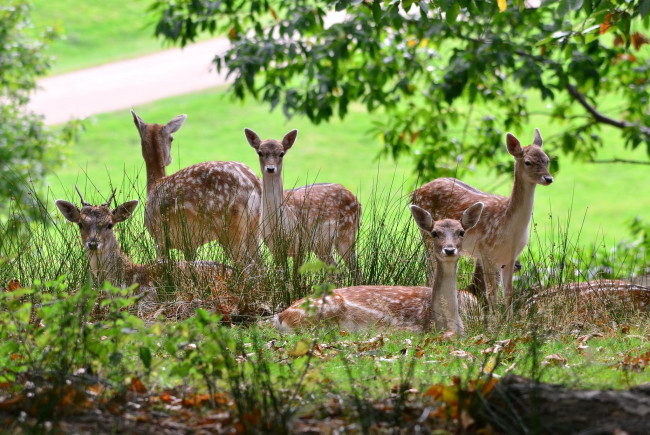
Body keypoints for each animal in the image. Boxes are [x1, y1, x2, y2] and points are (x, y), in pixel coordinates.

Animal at [130, 109, 262, 266]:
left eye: (171, 138)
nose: (170, 159)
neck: (153, 186)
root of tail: (254, 182)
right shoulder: (189, 245)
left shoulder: (158, 237)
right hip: (255, 225)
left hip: (230, 226)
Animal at [244, 127, 362, 276]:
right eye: (260, 152)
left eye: (281, 153)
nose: (270, 168)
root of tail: (357, 201)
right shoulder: (274, 248)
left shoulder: (299, 243)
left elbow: (295, 277)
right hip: (323, 245)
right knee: (337, 271)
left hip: (347, 233)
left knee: (356, 271)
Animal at [272, 203, 480, 336]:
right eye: (435, 233)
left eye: (461, 232)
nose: (449, 249)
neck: (445, 321)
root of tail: (281, 316)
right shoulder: (408, 329)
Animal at [410, 127, 552, 316]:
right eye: (528, 162)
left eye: (547, 160)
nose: (548, 179)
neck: (508, 224)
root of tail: (415, 192)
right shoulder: (487, 252)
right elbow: (492, 294)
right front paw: (494, 320)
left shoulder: (510, 256)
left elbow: (508, 293)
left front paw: (509, 320)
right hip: (428, 238)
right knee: (429, 273)